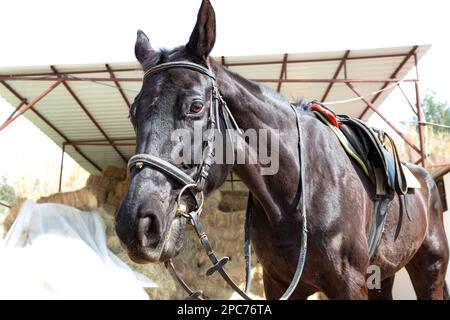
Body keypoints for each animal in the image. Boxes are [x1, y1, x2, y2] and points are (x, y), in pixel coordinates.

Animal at [115, 0, 446, 300]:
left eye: (196, 107)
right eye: (133, 113)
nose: (135, 224)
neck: (295, 195)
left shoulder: (349, 284)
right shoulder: (278, 283)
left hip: (430, 267)